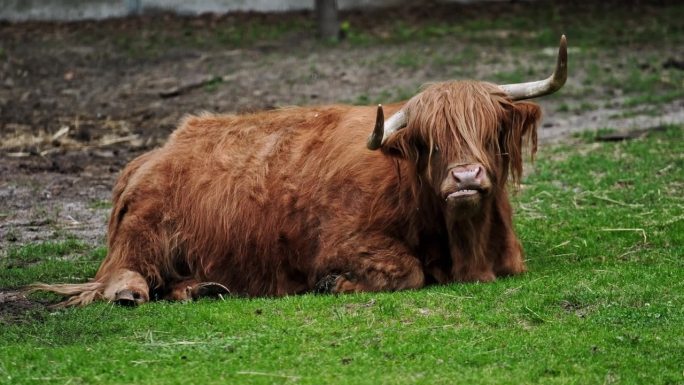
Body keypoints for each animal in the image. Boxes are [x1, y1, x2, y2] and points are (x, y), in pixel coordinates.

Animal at [32, 36, 568, 306]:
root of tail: (155, 152)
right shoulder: (343, 242)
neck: (467, 248)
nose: (465, 178)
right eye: (427, 141)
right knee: (122, 273)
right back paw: (131, 293)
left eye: (490, 129)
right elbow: (408, 271)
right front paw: (335, 283)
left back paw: (205, 288)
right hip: (144, 232)